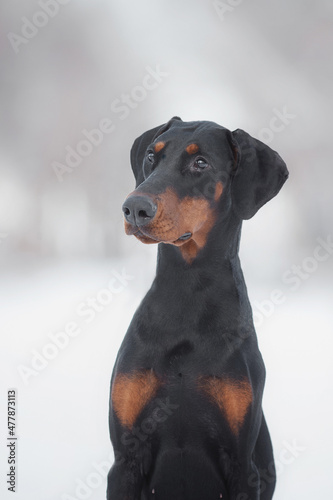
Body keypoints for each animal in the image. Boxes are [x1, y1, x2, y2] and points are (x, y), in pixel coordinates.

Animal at [107, 118, 288, 500]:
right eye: (151, 156)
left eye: (200, 163)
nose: (134, 207)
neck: (187, 292)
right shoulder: (125, 460)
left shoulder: (242, 467)